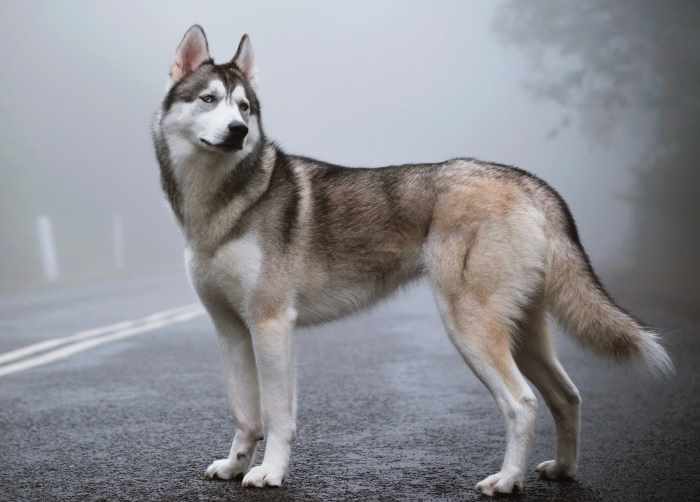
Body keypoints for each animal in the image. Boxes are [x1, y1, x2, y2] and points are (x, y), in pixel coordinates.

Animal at [152, 25, 672, 496]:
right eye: (209, 99)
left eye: (244, 107)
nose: (238, 132)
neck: (222, 203)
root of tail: (528, 182)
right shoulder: (232, 331)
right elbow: (246, 414)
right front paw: (234, 466)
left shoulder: (272, 324)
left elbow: (278, 416)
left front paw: (269, 473)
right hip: (525, 336)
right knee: (567, 396)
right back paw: (562, 471)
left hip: (470, 329)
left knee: (522, 403)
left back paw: (506, 480)